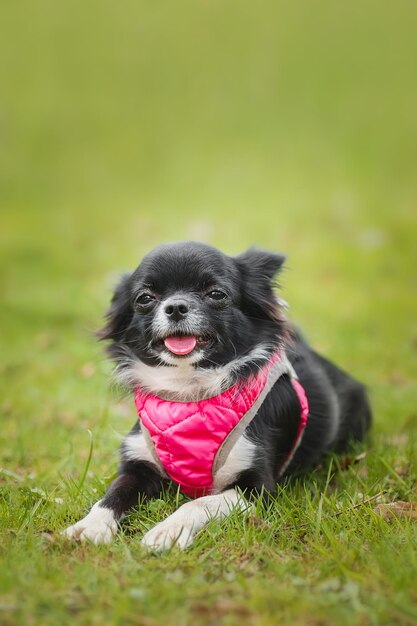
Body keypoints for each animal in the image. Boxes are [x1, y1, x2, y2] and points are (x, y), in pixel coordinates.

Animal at [62, 241, 370, 548]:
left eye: (216, 294)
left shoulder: (256, 488)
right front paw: (90, 526)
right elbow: (111, 495)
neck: (189, 391)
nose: (176, 306)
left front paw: (169, 530)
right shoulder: (138, 466)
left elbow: (198, 503)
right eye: (145, 298)